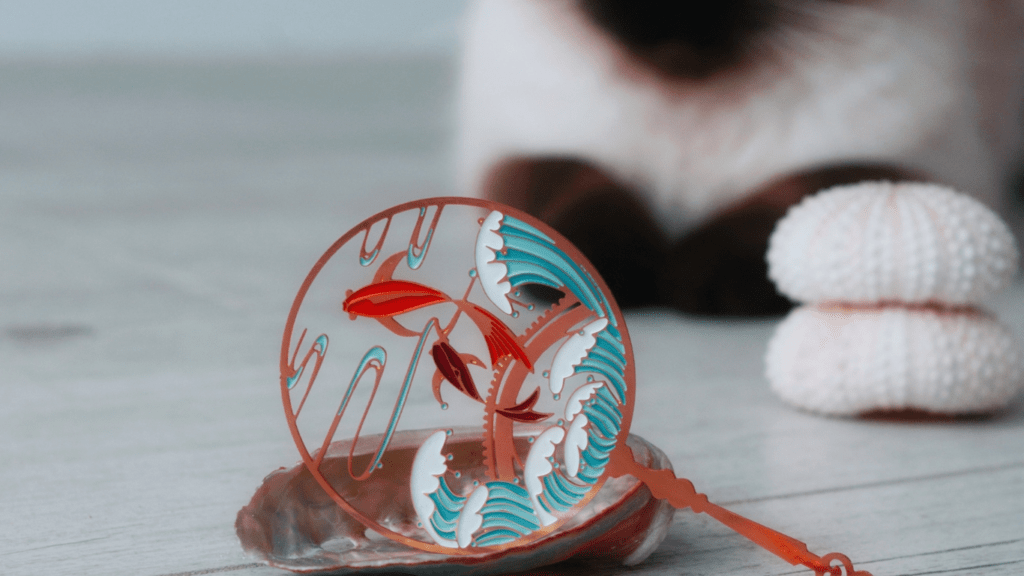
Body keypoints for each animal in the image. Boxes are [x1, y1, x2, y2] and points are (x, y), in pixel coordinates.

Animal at [458, 0, 1024, 313]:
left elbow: (796, 202)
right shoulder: (521, 148)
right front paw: (600, 272)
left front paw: (700, 279)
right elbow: (579, 188)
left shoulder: (908, 165)